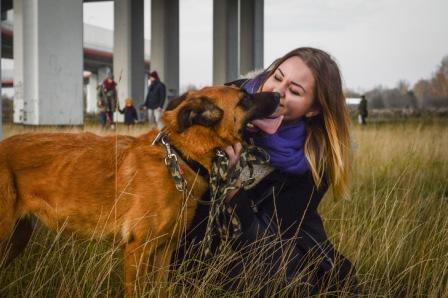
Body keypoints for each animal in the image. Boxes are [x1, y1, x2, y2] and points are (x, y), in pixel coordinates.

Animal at [0, 85, 280, 296]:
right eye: (245, 99)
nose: (278, 95)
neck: (179, 157)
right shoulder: (138, 250)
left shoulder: (164, 250)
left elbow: (160, 290)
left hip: (17, 237)